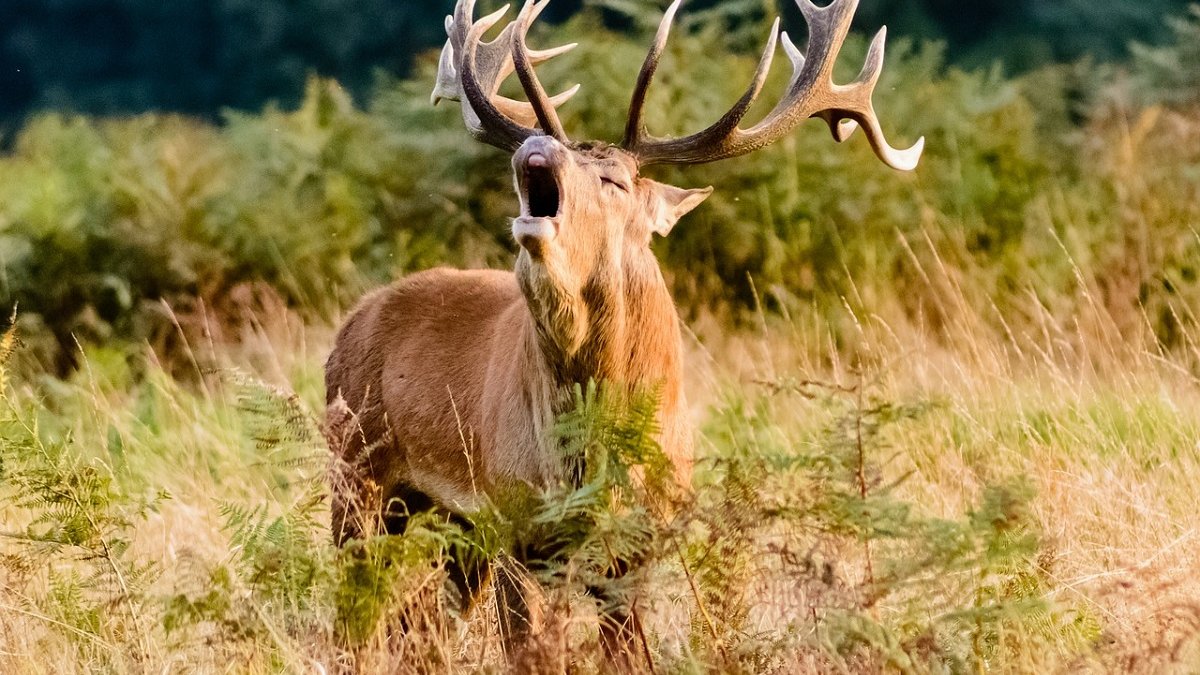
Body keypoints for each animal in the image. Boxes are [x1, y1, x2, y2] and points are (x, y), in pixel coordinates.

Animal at [324, 0, 921, 662]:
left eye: (613, 180)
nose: (536, 146)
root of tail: (350, 322)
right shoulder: (513, 518)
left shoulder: (638, 544)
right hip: (356, 475)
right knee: (357, 617)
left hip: (449, 525)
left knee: (414, 626)